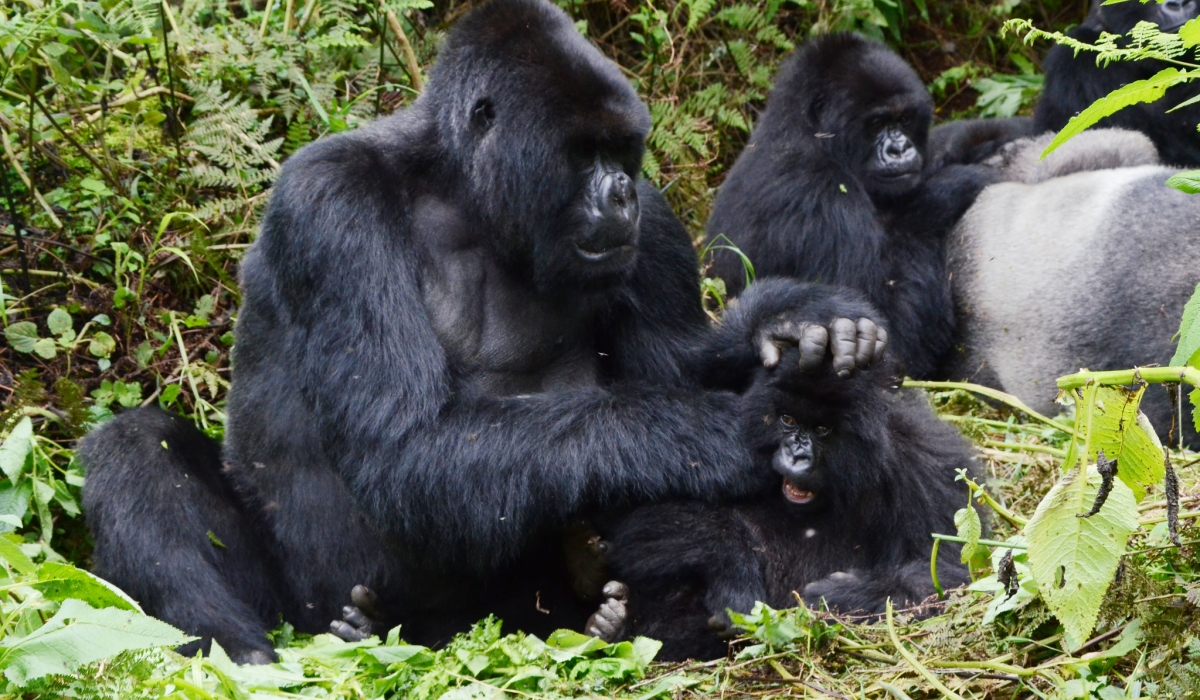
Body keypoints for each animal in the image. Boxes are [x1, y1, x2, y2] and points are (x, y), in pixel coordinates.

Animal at [82, 0, 892, 667]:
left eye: (622, 152)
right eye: (582, 153)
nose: (622, 195)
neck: (465, 190)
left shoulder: (652, 226)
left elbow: (673, 362)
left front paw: (797, 316)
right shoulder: (332, 201)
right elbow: (406, 444)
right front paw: (720, 434)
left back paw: (591, 613)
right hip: (299, 604)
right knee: (134, 450)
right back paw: (249, 650)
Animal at [583, 345, 984, 662]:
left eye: (822, 430)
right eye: (788, 419)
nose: (796, 455)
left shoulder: (930, 465)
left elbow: (949, 576)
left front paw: (840, 595)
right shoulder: (728, 442)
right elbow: (642, 517)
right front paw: (733, 571)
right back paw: (614, 626)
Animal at [705, 32, 998, 381]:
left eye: (904, 119)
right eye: (876, 123)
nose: (899, 149)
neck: (807, 132)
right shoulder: (822, 198)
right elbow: (892, 335)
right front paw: (955, 185)